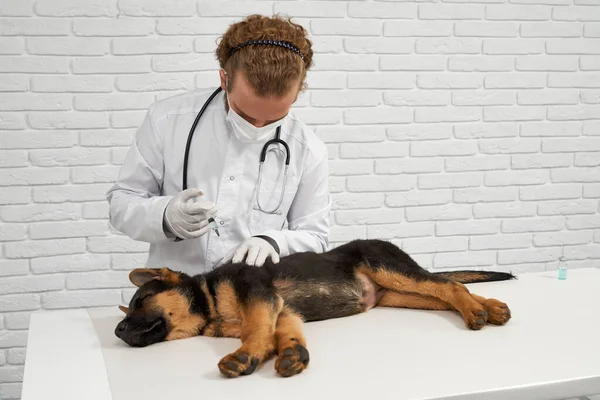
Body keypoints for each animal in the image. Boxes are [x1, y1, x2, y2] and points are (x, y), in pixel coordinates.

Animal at [115, 241, 512, 378]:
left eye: (139, 303)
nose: (118, 331)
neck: (208, 299)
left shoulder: (257, 294)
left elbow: (255, 329)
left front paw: (245, 355)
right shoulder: (282, 310)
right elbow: (284, 333)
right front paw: (292, 354)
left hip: (389, 269)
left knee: (448, 286)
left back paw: (475, 311)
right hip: (398, 294)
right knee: (444, 292)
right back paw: (491, 308)